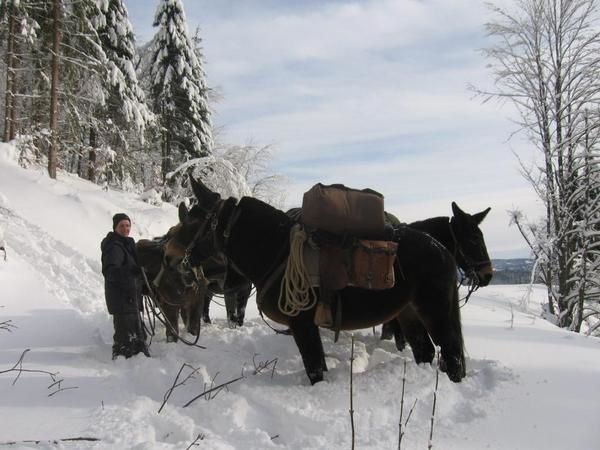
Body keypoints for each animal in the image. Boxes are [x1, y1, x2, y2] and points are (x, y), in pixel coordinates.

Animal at [164, 178, 468, 384]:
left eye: (191, 222)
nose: (170, 256)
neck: (275, 252)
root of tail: (441, 249)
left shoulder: (303, 325)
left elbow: (315, 368)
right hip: (407, 312)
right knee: (425, 350)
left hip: (435, 310)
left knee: (451, 352)